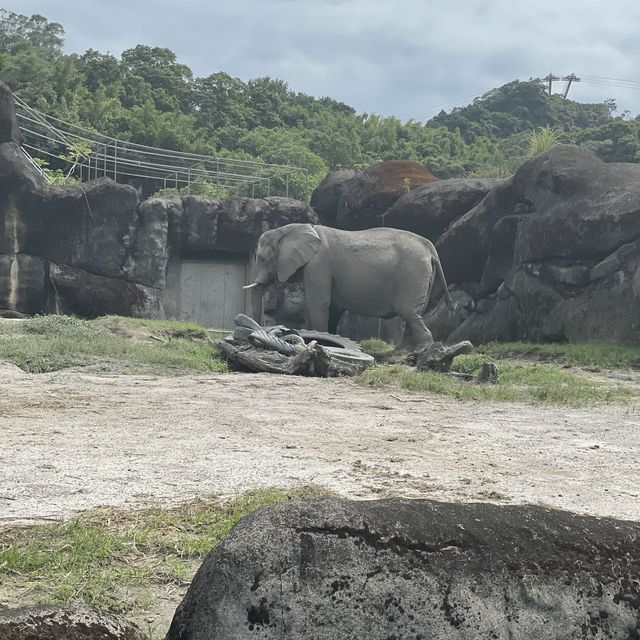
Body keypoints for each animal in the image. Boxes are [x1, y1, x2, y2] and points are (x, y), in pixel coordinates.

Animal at [242, 224, 452, 344]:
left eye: (262, 259)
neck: (291, 229)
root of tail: (430, 248)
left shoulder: (319, 264)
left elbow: (318, 305)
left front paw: (322, 339)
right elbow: (328, 308)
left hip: (413, 274)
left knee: (410, 314)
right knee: (413, 315)